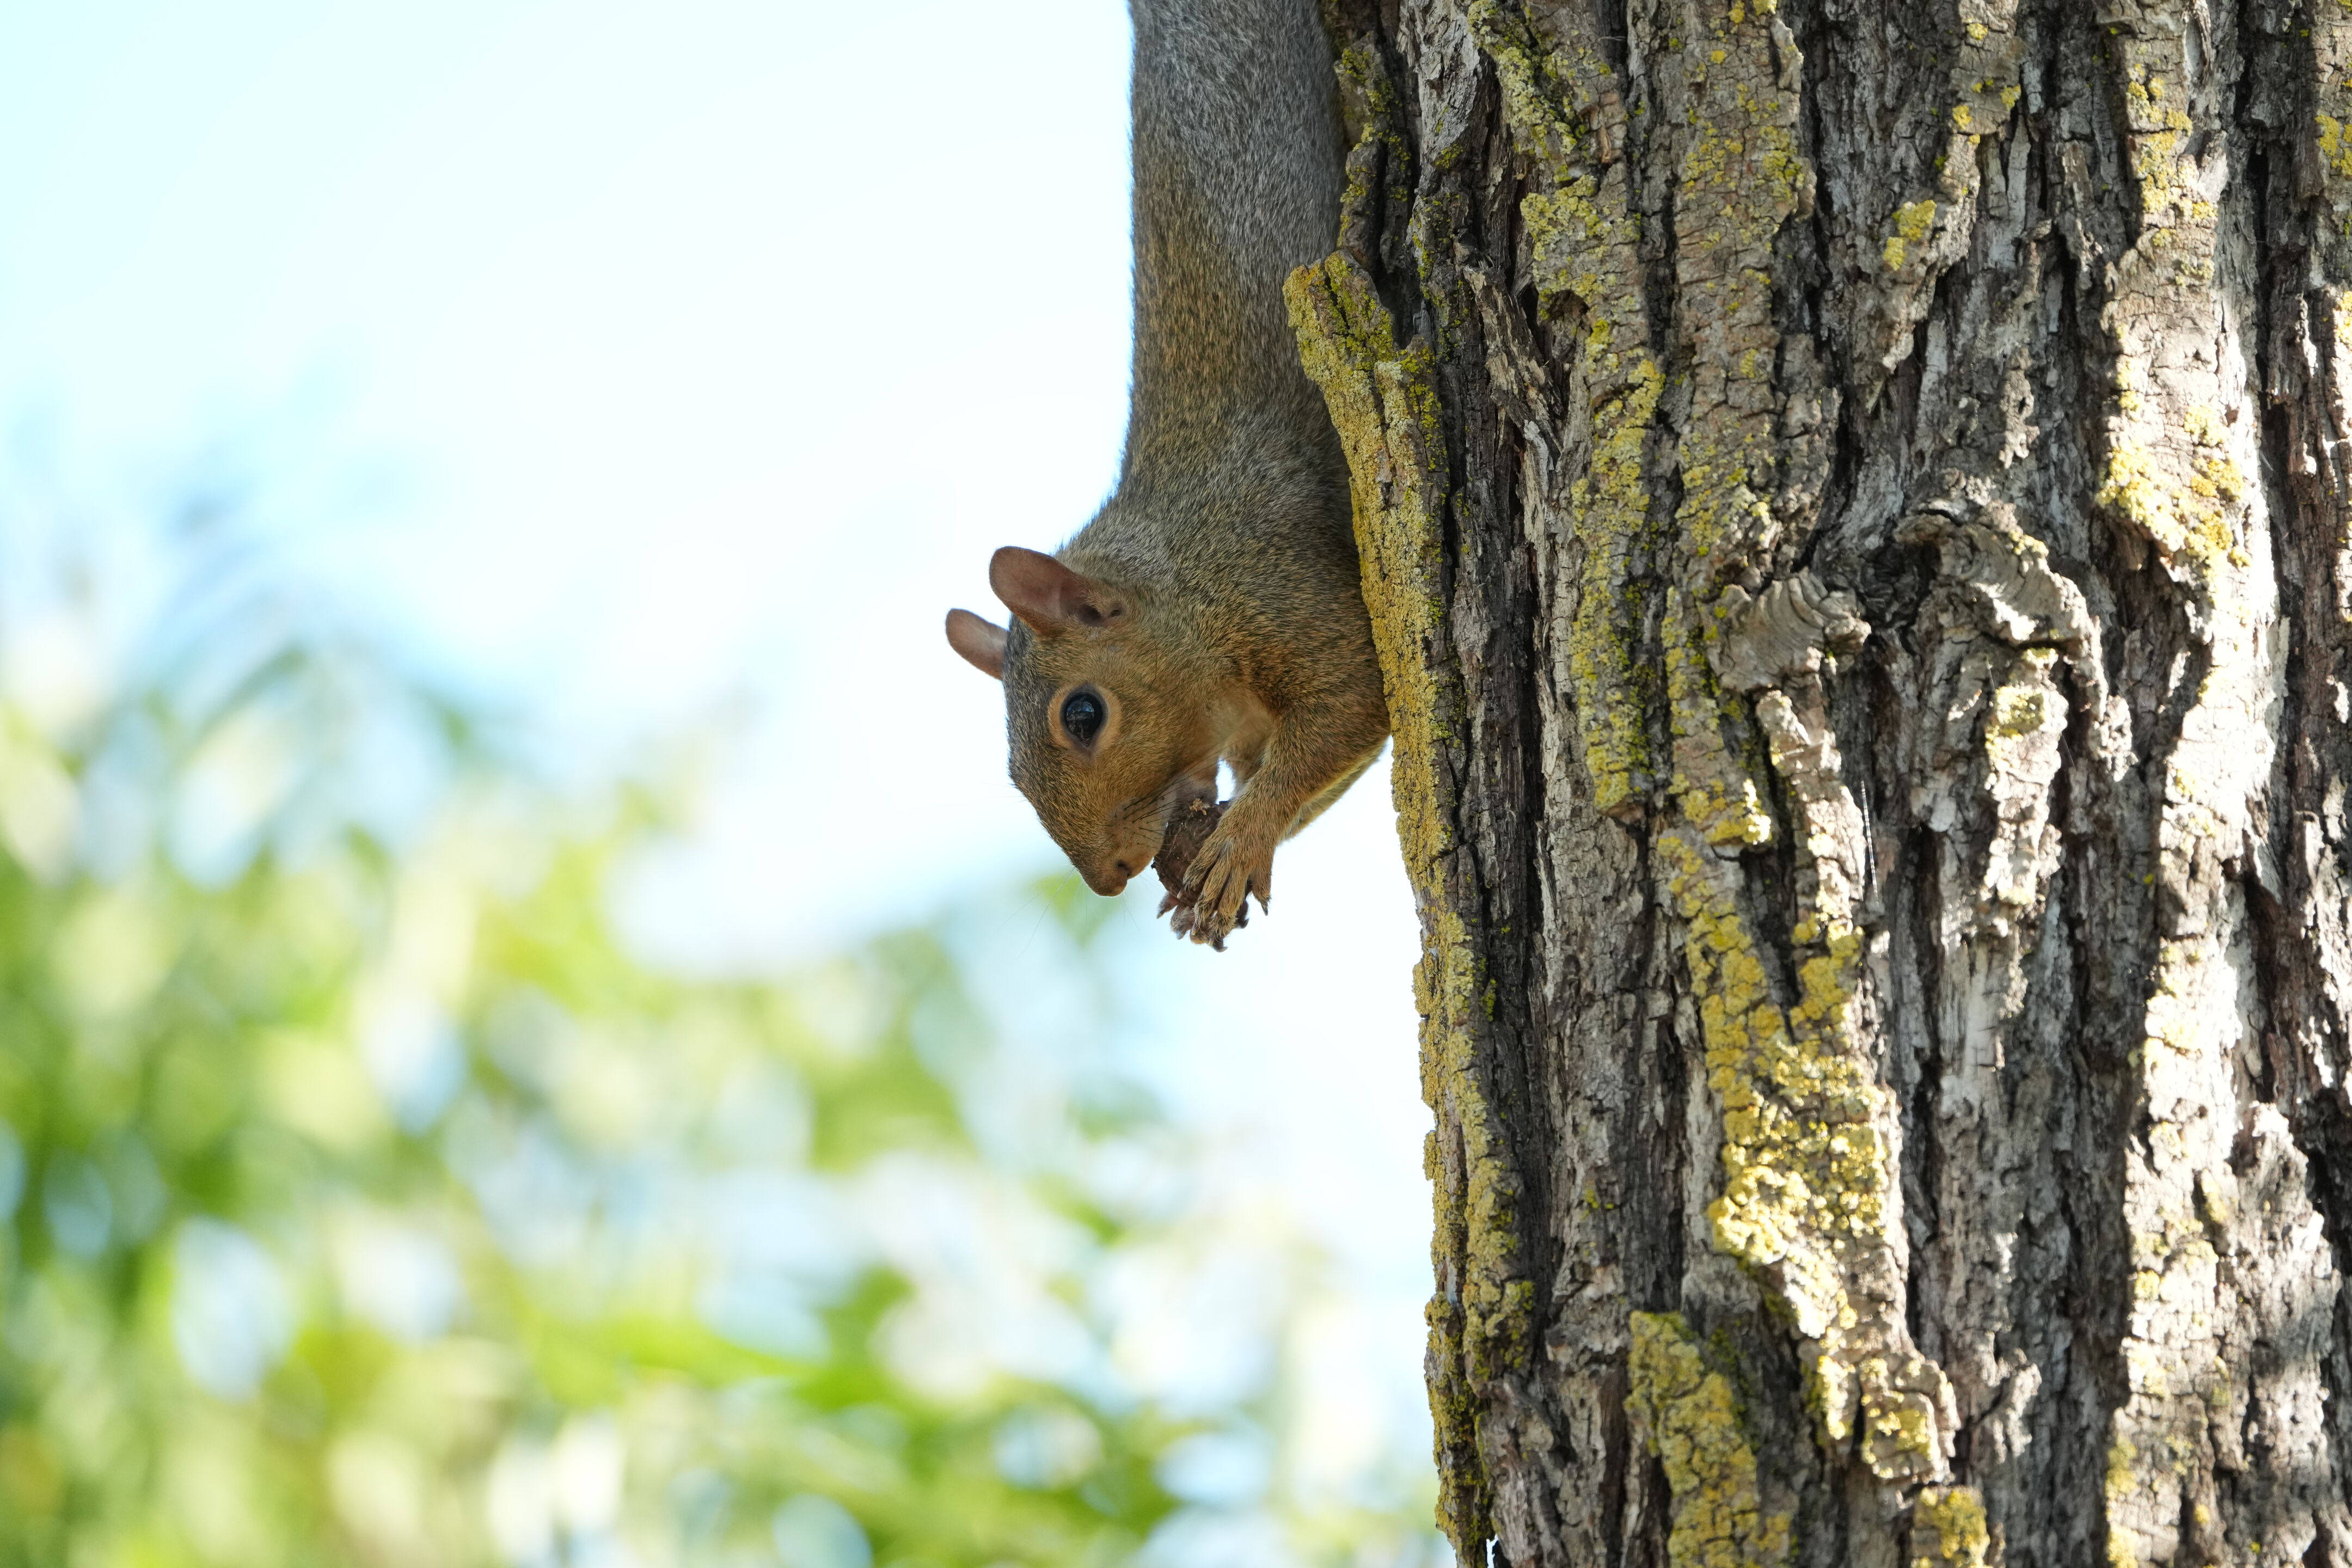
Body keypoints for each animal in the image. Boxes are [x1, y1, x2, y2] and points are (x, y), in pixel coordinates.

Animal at [944, 0, 1388, 949]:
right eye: (1011, 775)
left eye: (1082, 716)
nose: (1108, 877)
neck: (1184, 580)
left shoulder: (1286, 588)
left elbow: (1352, 709)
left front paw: (1243, 839)